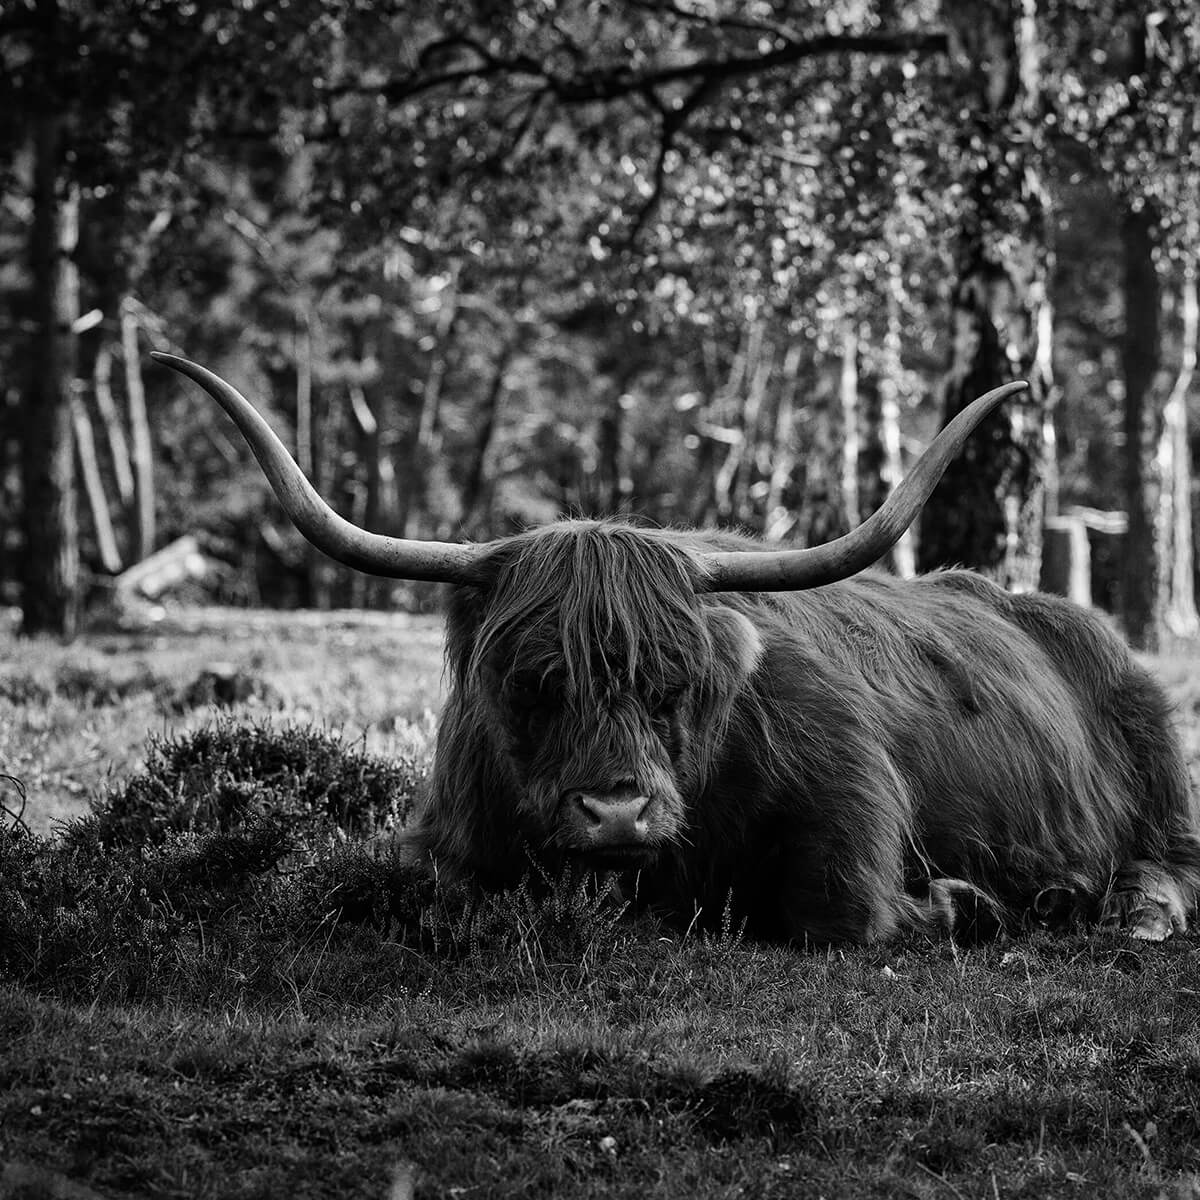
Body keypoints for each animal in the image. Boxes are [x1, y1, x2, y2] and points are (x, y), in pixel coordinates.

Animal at [154, 350, 1200, 945]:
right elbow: (435, 897)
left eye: (676, 685)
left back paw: (1127, 914)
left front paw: (968, 905)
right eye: (534, 683)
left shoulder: (851, 821)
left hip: (1162, 770)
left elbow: (844, 920)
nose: (617, 811)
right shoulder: (446, 836)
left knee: (1169, 862)